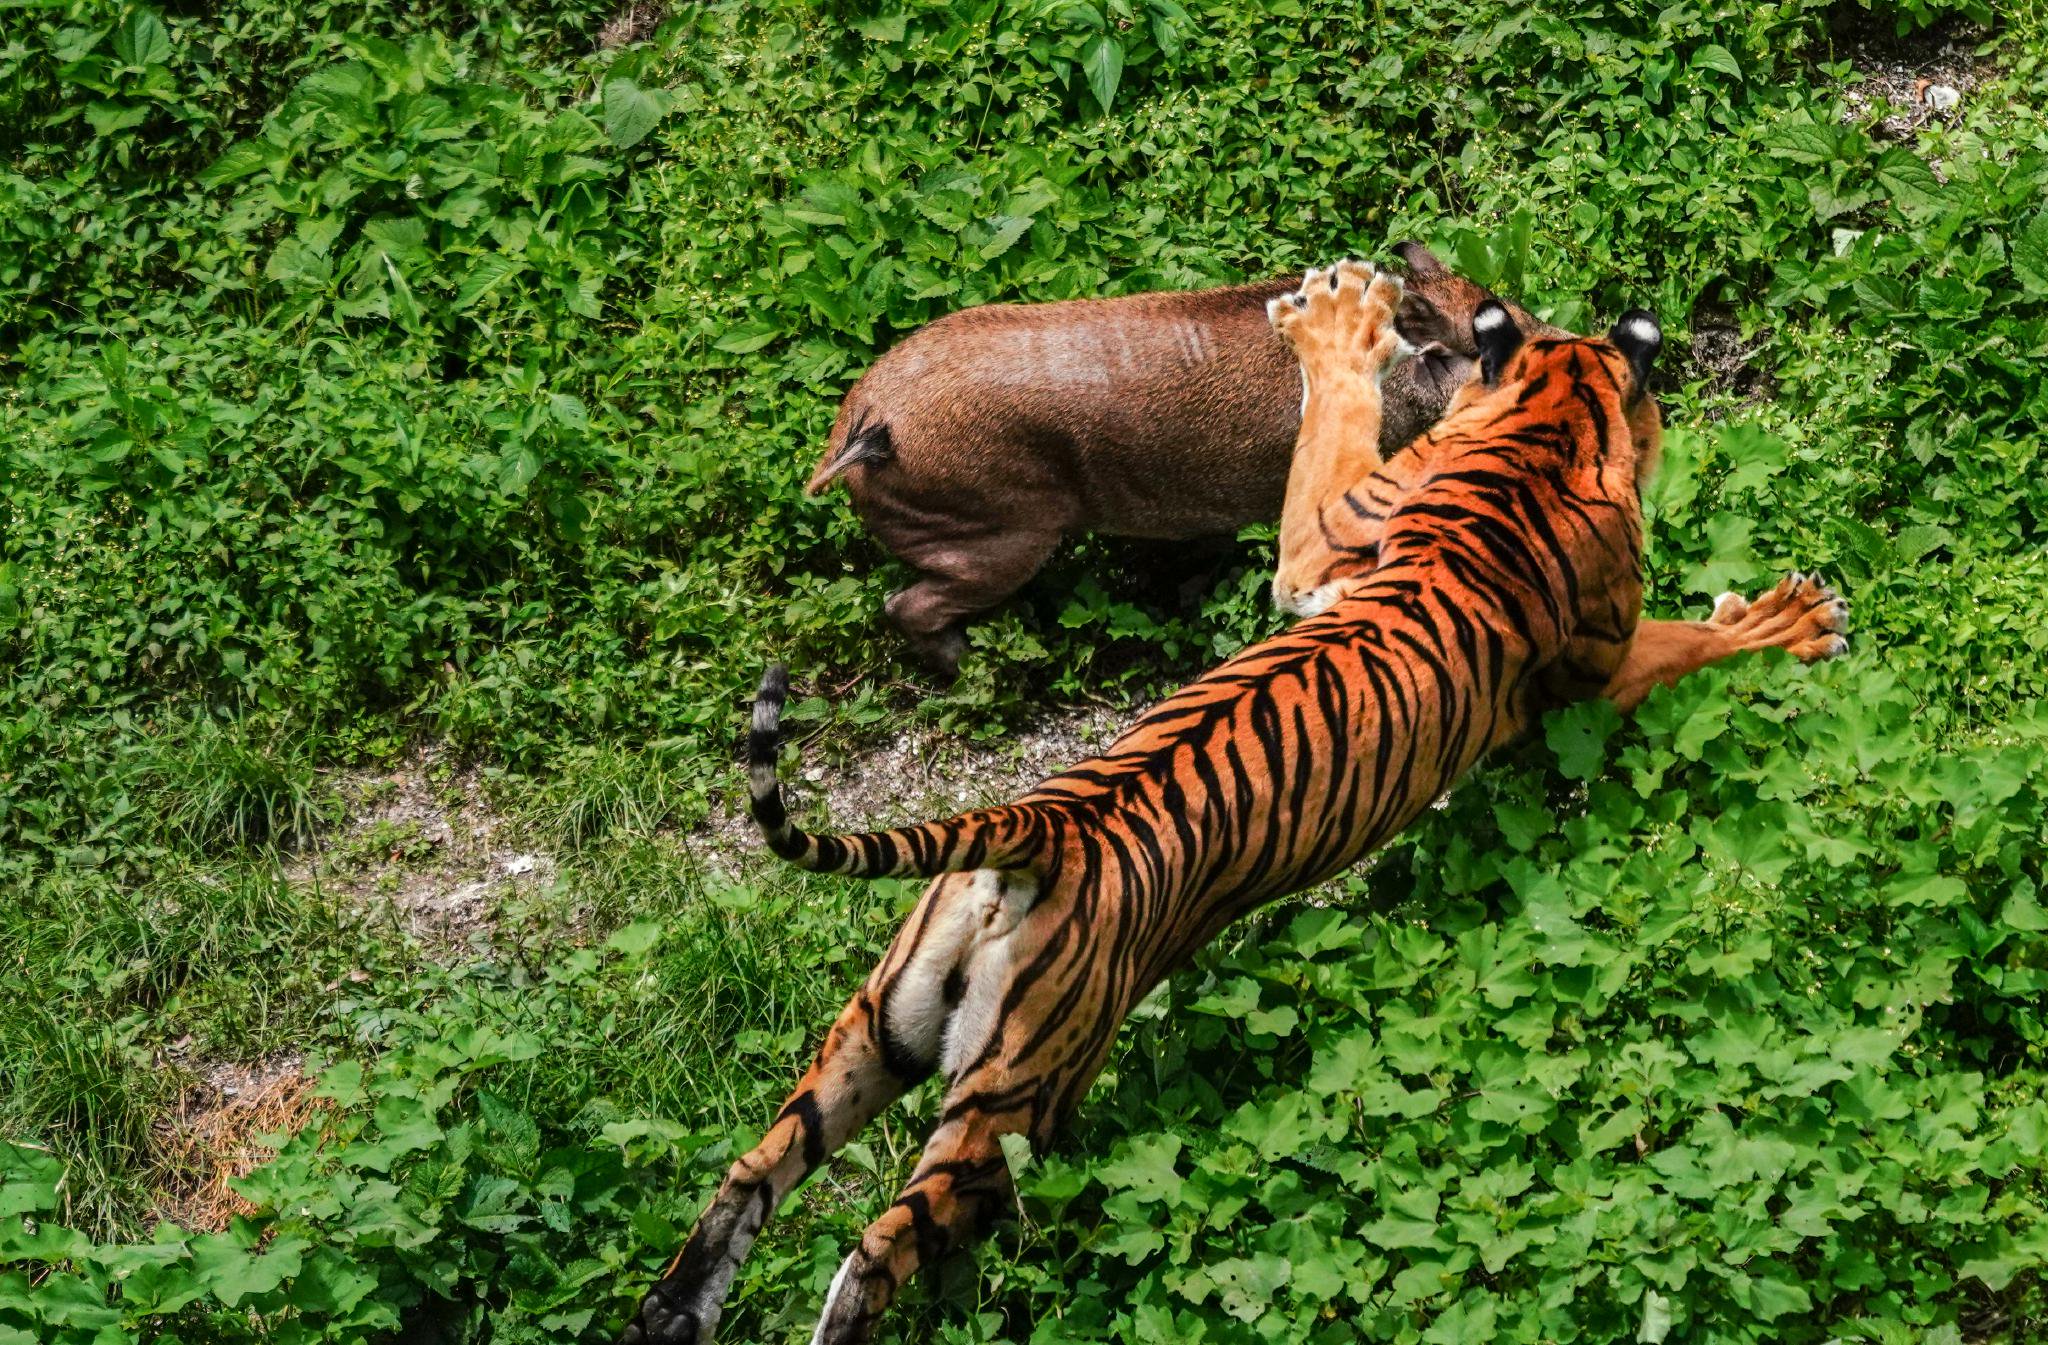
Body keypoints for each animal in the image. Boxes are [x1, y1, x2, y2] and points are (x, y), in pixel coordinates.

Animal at [614, 262, 1851, 1342]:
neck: (1533, 430)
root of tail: (1038, 827)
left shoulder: (1323, 544)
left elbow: (1328, 443)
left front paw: (1335, 324)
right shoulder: (1593, 666)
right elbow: (1682, 643)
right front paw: (1791, 620)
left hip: (877, 1026)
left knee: (751, 1170)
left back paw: (674, 1312)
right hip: (1014, 1092)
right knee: (875, 1249)